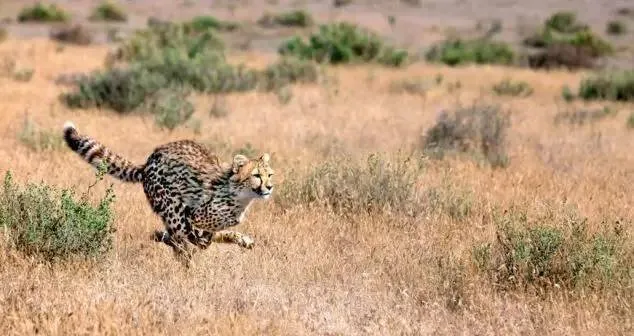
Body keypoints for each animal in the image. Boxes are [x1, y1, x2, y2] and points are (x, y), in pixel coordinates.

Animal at [60, 121, 272, 266]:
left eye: (270, 175)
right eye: (256, 175)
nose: (269, 187)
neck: (240, 197)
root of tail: (148, 162)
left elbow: (207, 237)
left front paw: (241, 240)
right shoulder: (192, 215)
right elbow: (199, 238)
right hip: (172, 207)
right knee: (182, 238)